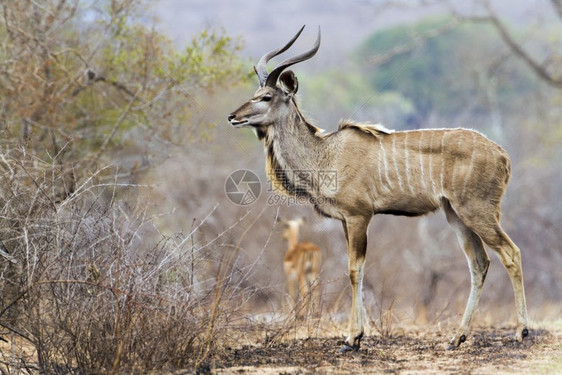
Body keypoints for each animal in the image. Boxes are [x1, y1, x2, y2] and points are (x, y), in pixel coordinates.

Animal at [226, 25, 524, 352]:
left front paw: (351, 339)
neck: (326, 153)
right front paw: (356, 336)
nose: (233, 116)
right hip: (455, 214)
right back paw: (457, 337)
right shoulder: (346, 220)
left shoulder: (359, 216)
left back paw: (521, 331)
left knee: (510, 253)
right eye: (255, 94)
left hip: (477, 211)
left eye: (266, 96)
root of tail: (502, 155)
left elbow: (355, 269)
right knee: (479, 262)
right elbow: (357, 268)